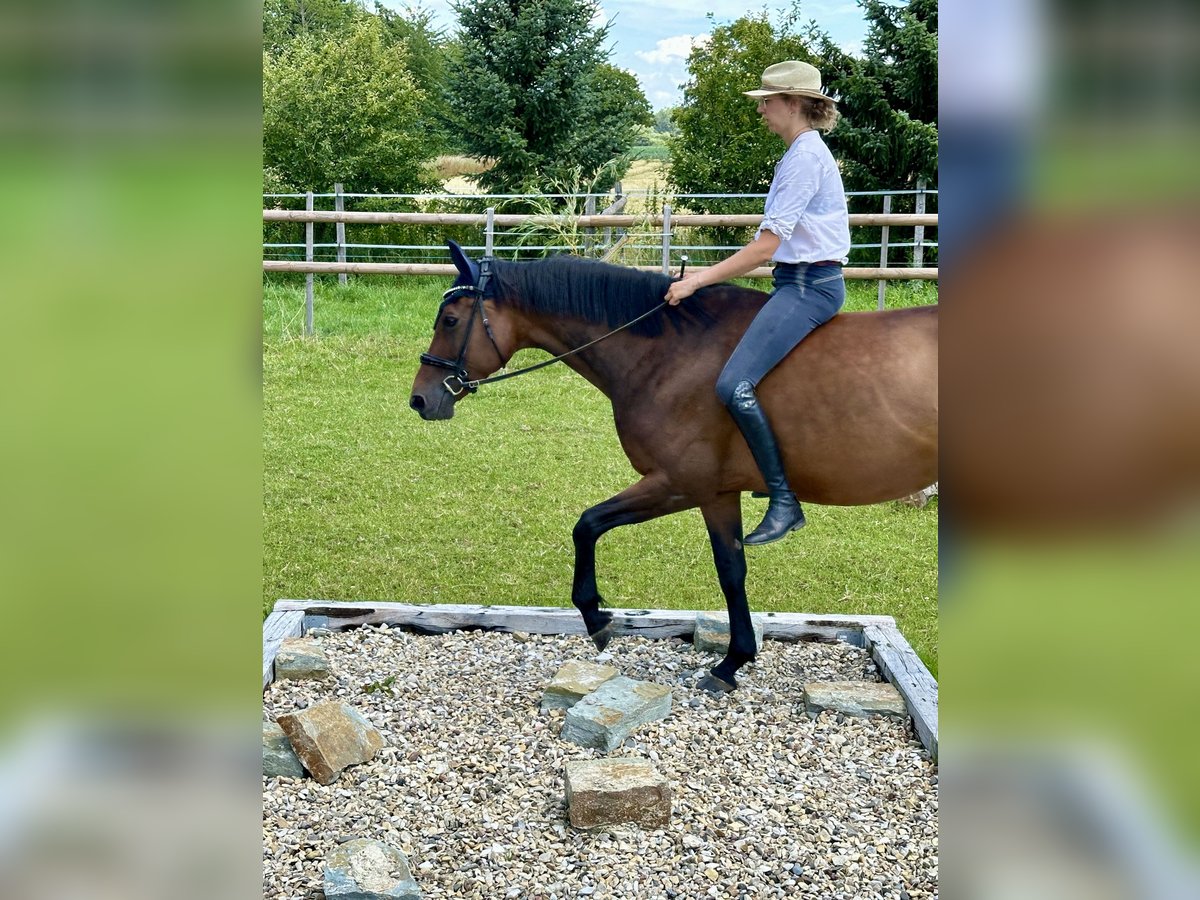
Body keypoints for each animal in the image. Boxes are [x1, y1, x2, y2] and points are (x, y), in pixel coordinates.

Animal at [412, 240, 936, 691]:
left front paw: (596, 618)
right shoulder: (717, 494)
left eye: (451, 319)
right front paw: (733, 662)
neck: (669, 351)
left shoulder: (680, 484)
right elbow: (731, 569)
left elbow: (587, 525)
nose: (420, 399)